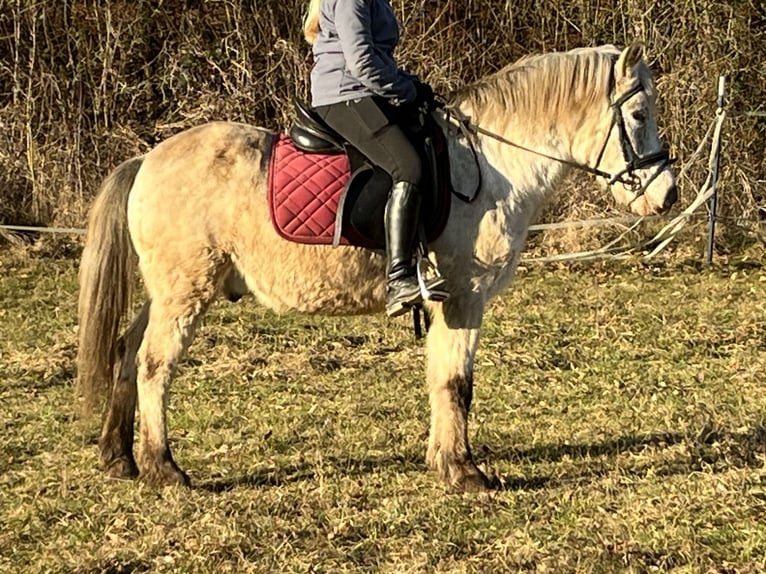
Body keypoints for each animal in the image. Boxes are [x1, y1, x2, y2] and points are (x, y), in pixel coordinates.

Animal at [76, 43, 677, 493]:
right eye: (639, 115)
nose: (668, 195)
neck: (488, 166)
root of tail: (147, 159)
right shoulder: (464, 296)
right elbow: (457, 382)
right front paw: (466, 473)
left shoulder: (448, 303)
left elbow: (441, 379)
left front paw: (443, 461)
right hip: (185, 293)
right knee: (154, 365)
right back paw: (164, 469)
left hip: (166, 292)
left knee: (127, 352)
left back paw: (119, 458)